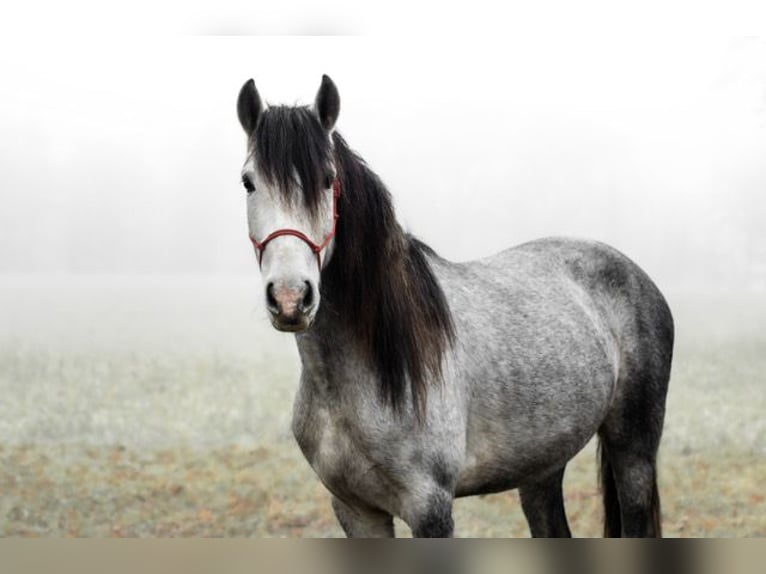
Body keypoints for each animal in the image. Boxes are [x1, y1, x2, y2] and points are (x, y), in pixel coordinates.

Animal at [237, 75, 676, 540]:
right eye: (248, 182)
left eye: (327, 179)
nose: (290, 298)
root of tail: (631, 271)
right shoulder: (355, 510)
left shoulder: (430, 508)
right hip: (541, 467)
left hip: (633, 450)